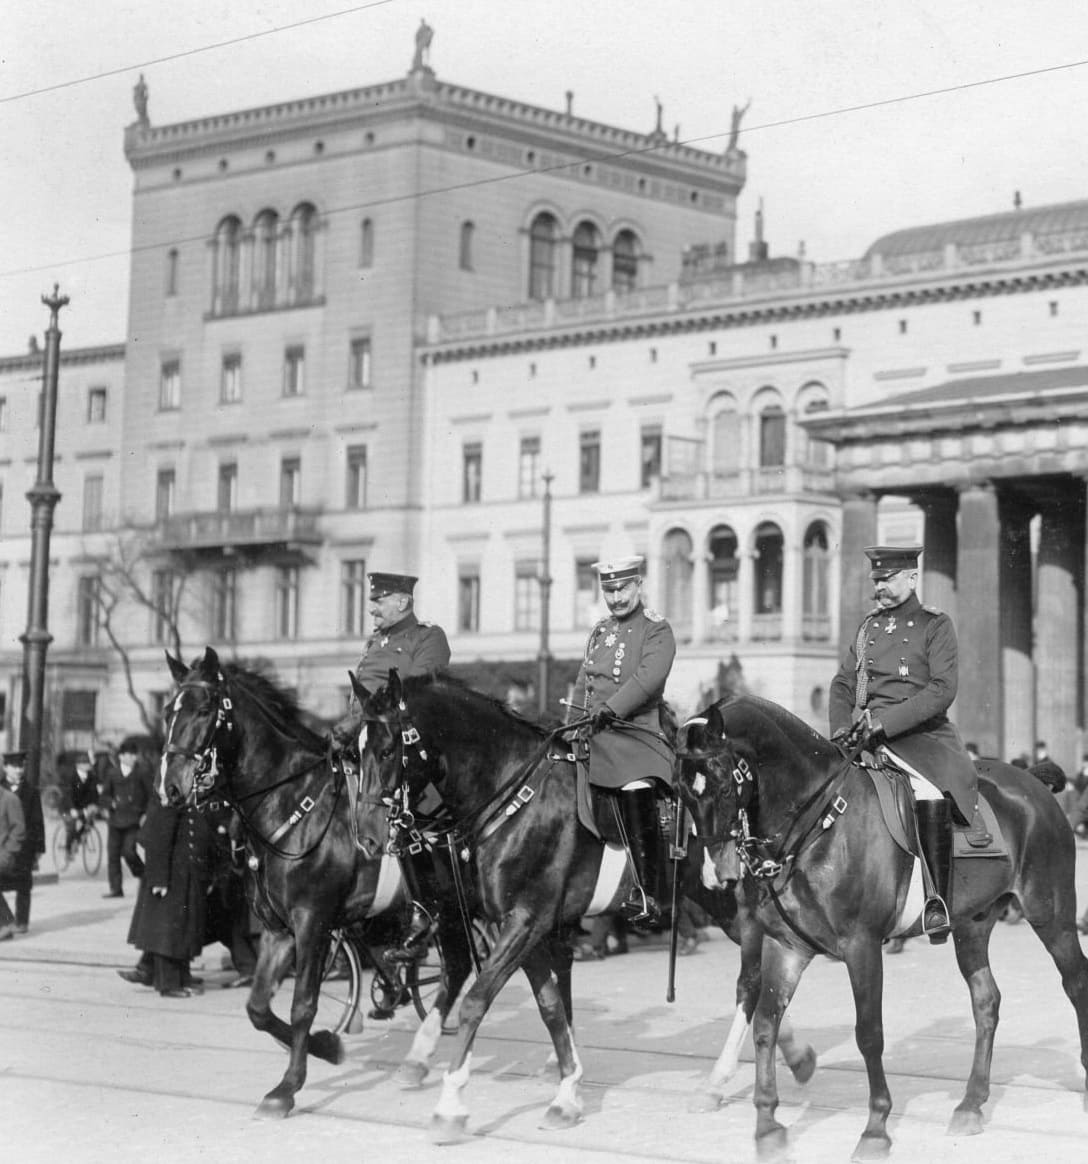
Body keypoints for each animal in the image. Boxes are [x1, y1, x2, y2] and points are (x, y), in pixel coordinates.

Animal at [159, 651, 474, 1112]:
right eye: (168, 711)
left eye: (203, 710)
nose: (170, 787)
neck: (291, 803)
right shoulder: (279, 930)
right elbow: (258, 1007)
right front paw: (326, 1044)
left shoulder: (313, 922)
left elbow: (303, 1004)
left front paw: (288, 1086)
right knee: (459, 968)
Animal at [351, 670, 819, 1140]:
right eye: (355, 752)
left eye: (388, 749)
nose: (367, 835)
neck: (516, 794)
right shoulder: (523, 927)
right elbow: (551, 1007)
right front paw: (567, 1092)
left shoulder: (526, 921)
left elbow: (476, 1001)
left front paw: (450, 1105)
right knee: (760, 981)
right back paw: (792, 1056)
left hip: (734, 905)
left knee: (752, 980)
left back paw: (721, 1079)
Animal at [674, 693, 1088, 1159]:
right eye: (682, 793)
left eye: (726, 786)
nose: (717, 873)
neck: (817, 823)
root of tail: (1032, 782)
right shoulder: (786, 946)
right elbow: (765, 1024)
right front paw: (767, 1127)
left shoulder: (862, 946)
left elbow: (869, 1033)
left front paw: (875, 1128)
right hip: (972, 925)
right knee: (986, 1002)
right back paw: (971, 1103)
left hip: (1051, 913)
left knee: (1076, 983)